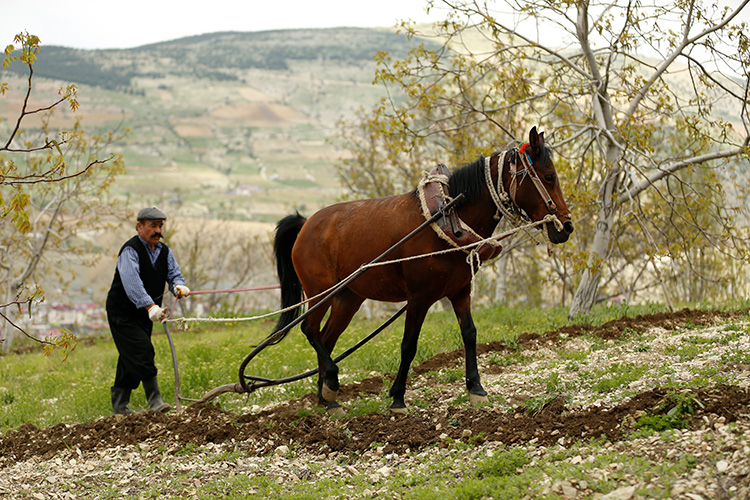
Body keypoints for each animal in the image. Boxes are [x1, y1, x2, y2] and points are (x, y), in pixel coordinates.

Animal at [270, 127, 576, 412]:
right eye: (549, 177)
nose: (567, 226)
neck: (449, 217)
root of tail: (307, 223)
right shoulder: (418, 298)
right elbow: (408, 346)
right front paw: (397, 397)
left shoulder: (460, 291)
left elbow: (469, 334)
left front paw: (476, 388)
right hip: (320, 292)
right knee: (310, 330)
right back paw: (332, 382)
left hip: (348, 297)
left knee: (326, 338)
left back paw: (326, 398)